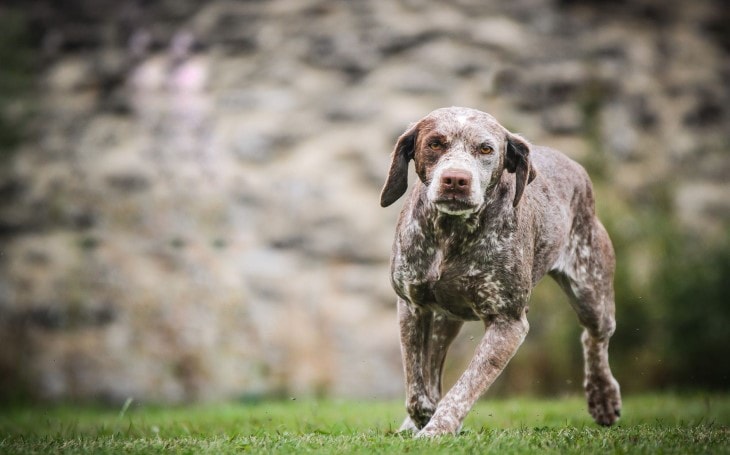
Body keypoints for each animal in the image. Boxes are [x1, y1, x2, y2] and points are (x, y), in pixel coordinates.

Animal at [378, 107, 616, 438]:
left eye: (486, 149)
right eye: (435, 143)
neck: (451, 232)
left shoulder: (508, 323)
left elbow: (466, 386)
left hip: (591, 295)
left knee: (595, 339)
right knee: (432, 372)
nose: (456, 179)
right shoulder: (413, 306)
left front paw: (438, 428)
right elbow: (417, 388)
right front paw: (423, 418)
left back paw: (602, 397)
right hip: (443, 321)